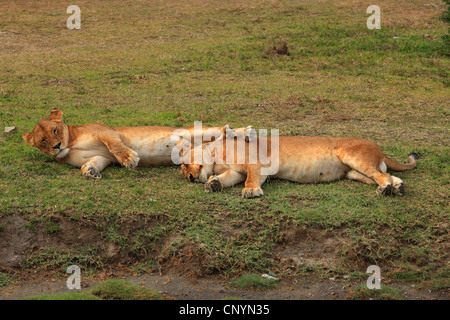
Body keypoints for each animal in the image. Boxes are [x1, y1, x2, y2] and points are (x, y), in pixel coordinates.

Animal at [23, 108, 256, 179]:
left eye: (55, 130)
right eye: (43, 141)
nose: (56, 146)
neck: (71, 144)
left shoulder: (106, 131)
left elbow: (115, 145)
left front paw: (130, 159)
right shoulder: (102, 157)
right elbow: (92, 163)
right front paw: (90, 172)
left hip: (195, 132)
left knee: (220, 131)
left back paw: (245, 131)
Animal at [179, 130, 418, 198]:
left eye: (183, 164)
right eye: (183, 173)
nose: (189, 178)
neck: (216, 155)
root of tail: (380, 149)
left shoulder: (258, 162)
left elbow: (250, 179)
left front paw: (251, 191)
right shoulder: (236, 172)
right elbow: (227, 178)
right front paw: (213, 184)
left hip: (352, 156)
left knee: (382, 176)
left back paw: (386, 189)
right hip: (353, 172)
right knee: (384, 174)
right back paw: (398, 187)